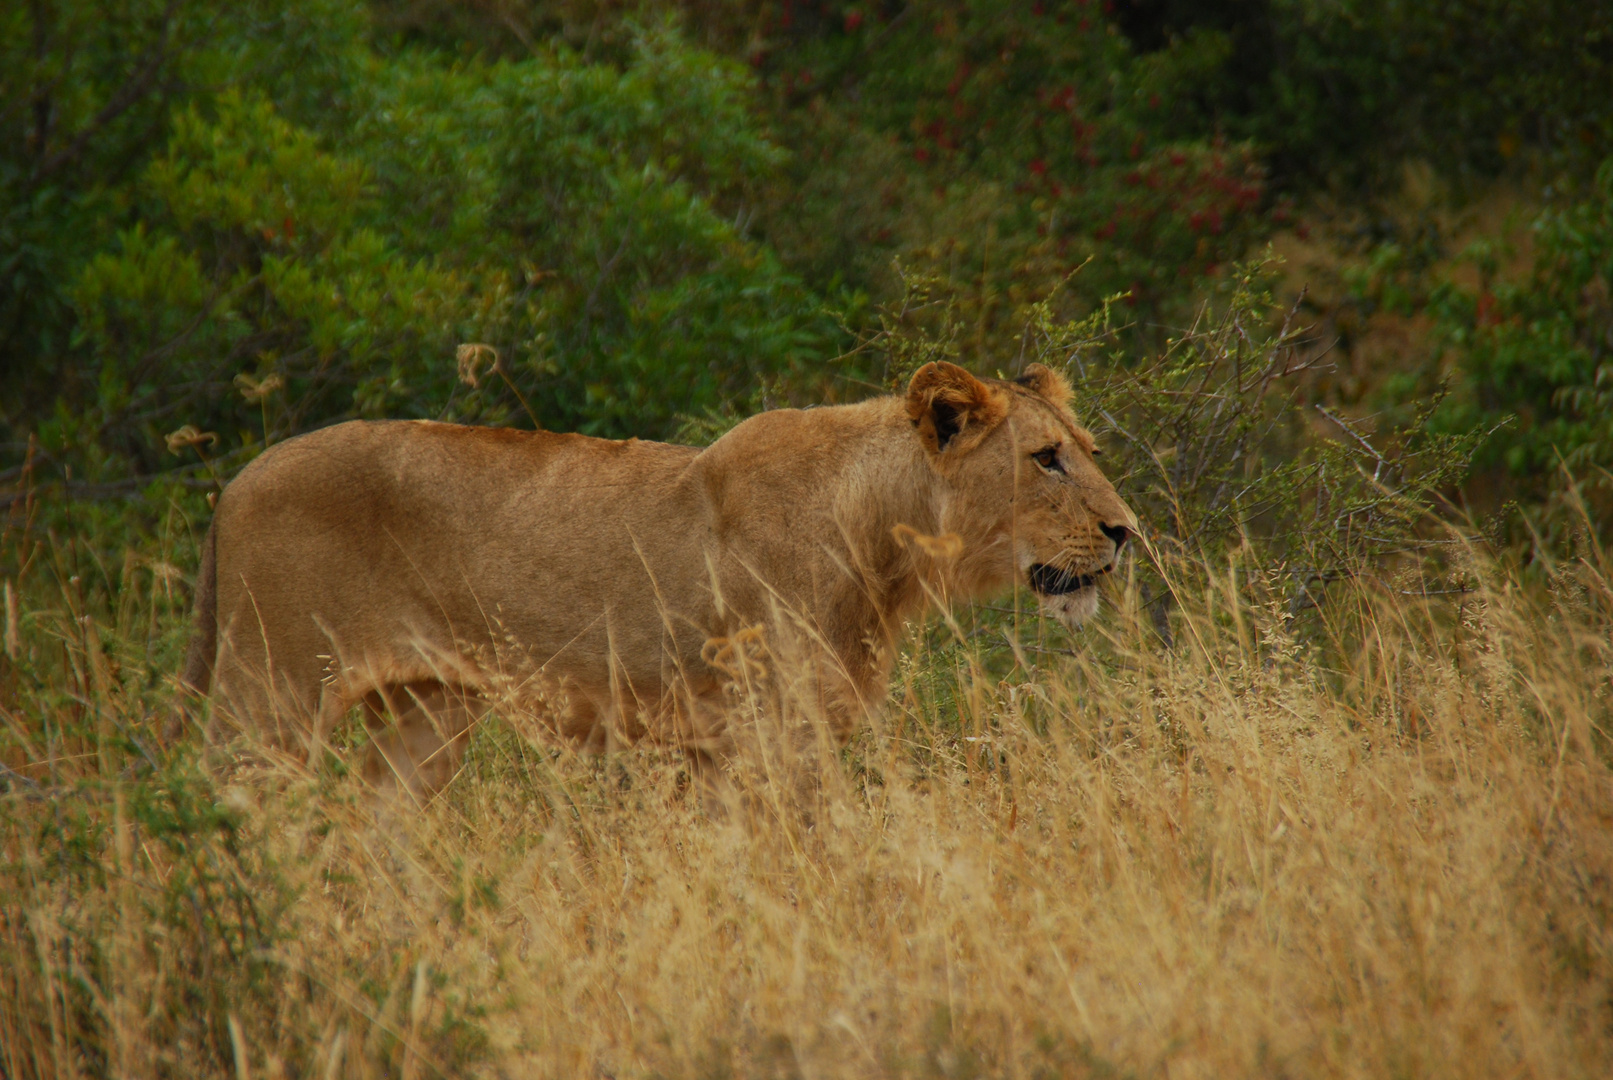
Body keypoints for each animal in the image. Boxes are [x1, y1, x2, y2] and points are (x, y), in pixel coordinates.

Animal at [183, 361, 1135, 796]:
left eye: (1086, 451)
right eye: (1044, 459)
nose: (1126, 533)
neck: (884, 551)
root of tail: (234, 485)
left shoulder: (724, 748)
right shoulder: (768, 734)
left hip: (423, 716)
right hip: (270, 694)